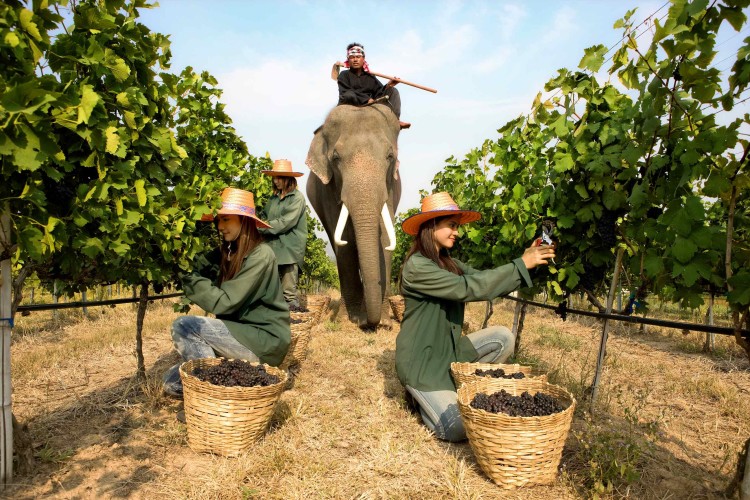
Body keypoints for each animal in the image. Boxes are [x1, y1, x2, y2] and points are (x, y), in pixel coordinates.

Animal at [306, 103, 402, 326]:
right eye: (335, 158)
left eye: (390, 157)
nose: (369, 323)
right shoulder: (329, 189)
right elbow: (345, 241)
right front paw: (348, 320)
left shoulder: (390, 186)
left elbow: (385, 237)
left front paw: (384, 323)